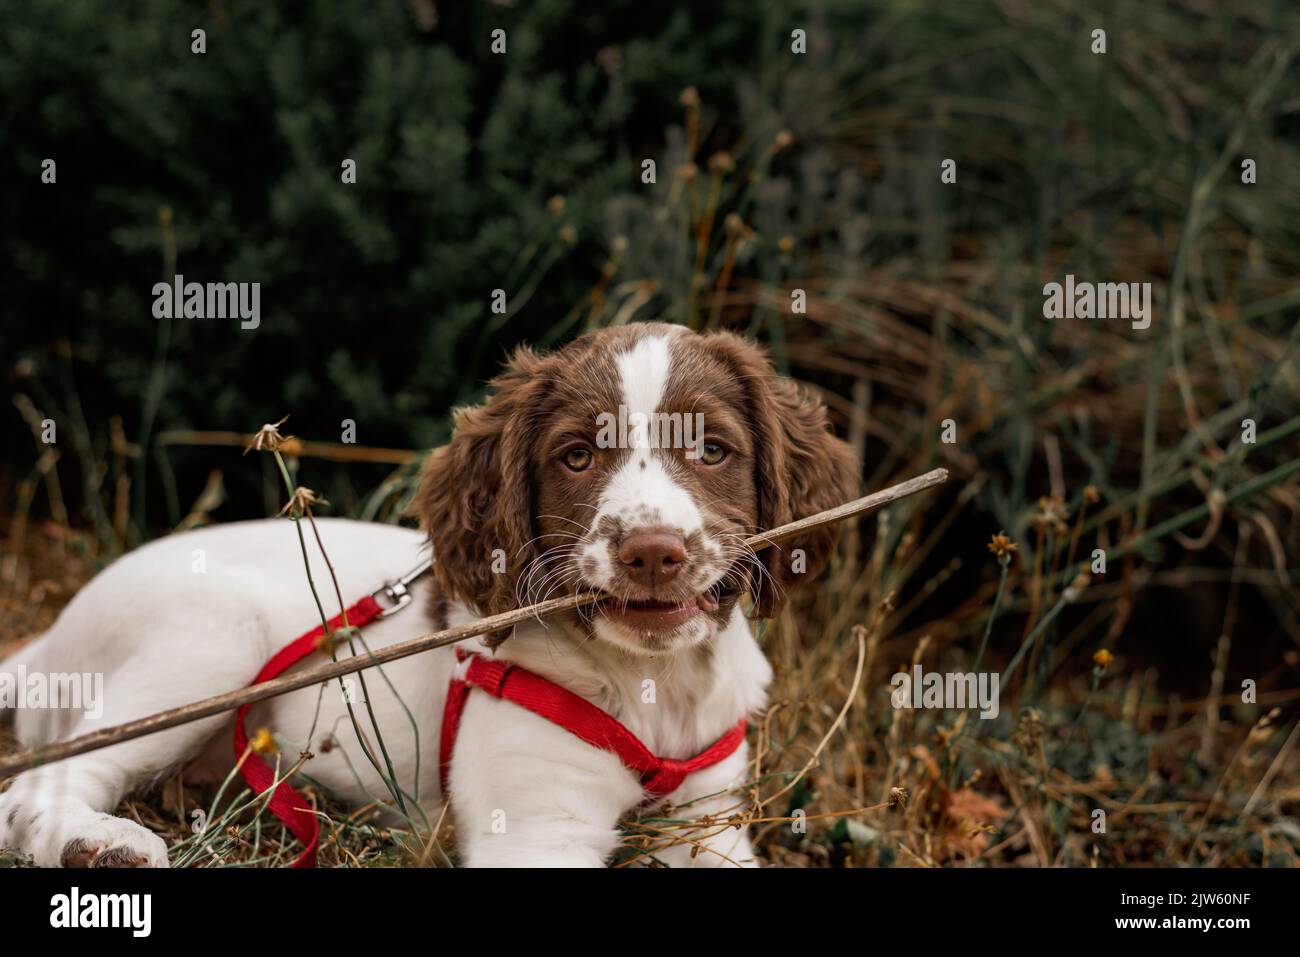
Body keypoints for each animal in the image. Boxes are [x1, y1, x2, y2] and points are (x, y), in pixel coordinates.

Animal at [2, 323, 863, 868]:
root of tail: (44, 643)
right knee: (35, 782)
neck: (652, 686)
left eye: (713, 450)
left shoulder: (710, 824)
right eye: (577, 456)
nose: (652, 551)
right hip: (209, 640)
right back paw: (99, 843)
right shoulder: (536, 830)